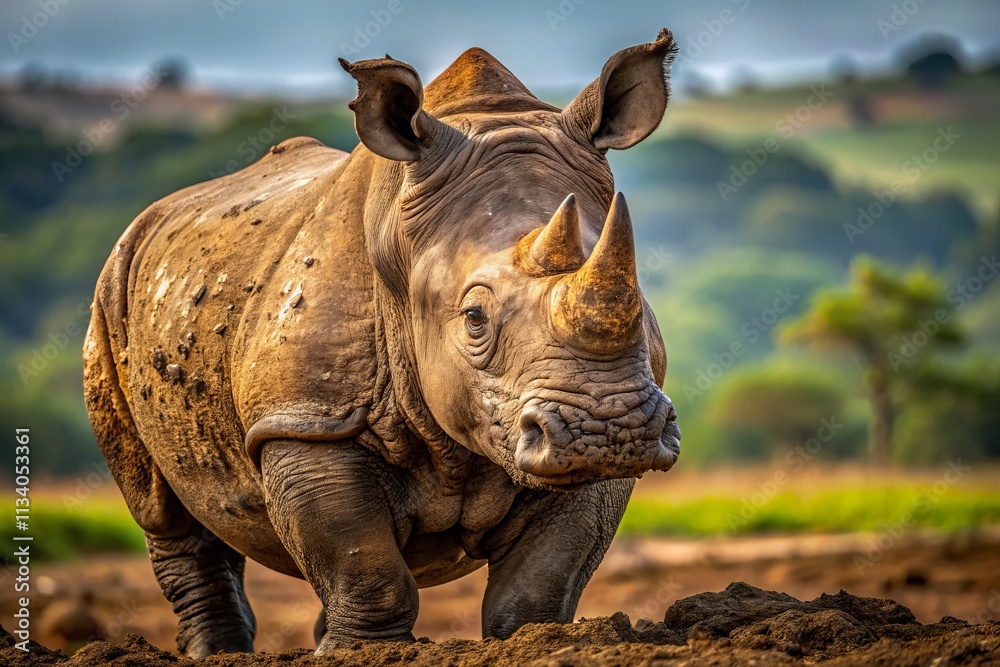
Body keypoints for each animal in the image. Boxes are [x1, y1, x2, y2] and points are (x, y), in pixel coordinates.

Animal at [83, 29, 680, 657]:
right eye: (474, 318)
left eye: (643, 307)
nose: (608, 431)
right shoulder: (307, 418)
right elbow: (362, 564)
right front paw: (359, 652)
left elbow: (543, 578)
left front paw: (534, 643)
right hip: (113, 292)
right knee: (161, 508)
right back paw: (217, 653)